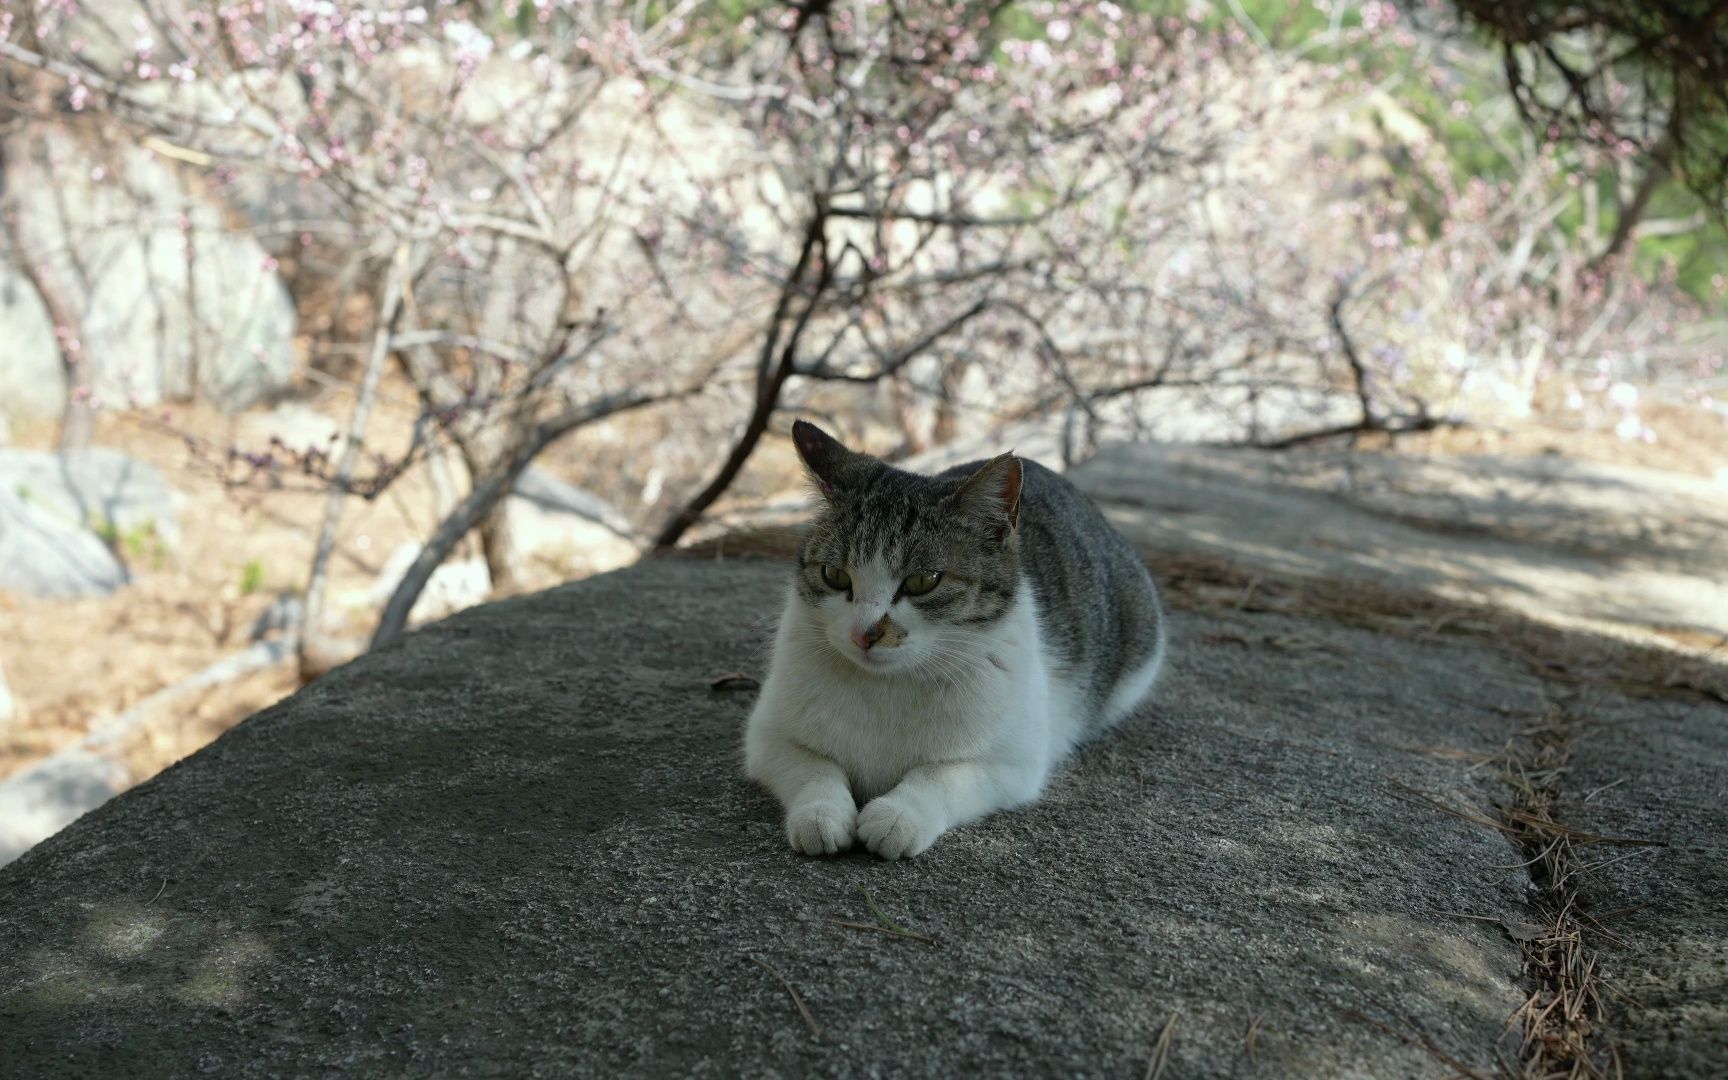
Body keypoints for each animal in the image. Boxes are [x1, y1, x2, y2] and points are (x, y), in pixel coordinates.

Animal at [746, 419, 1168, 860]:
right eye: (834, 575)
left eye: (923, 581)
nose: (864, 633)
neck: (887, 686)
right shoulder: (766, 737)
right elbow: (813, 768)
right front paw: (820, 815)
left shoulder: (1012, 763)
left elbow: (938, 776)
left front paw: (897, 817)